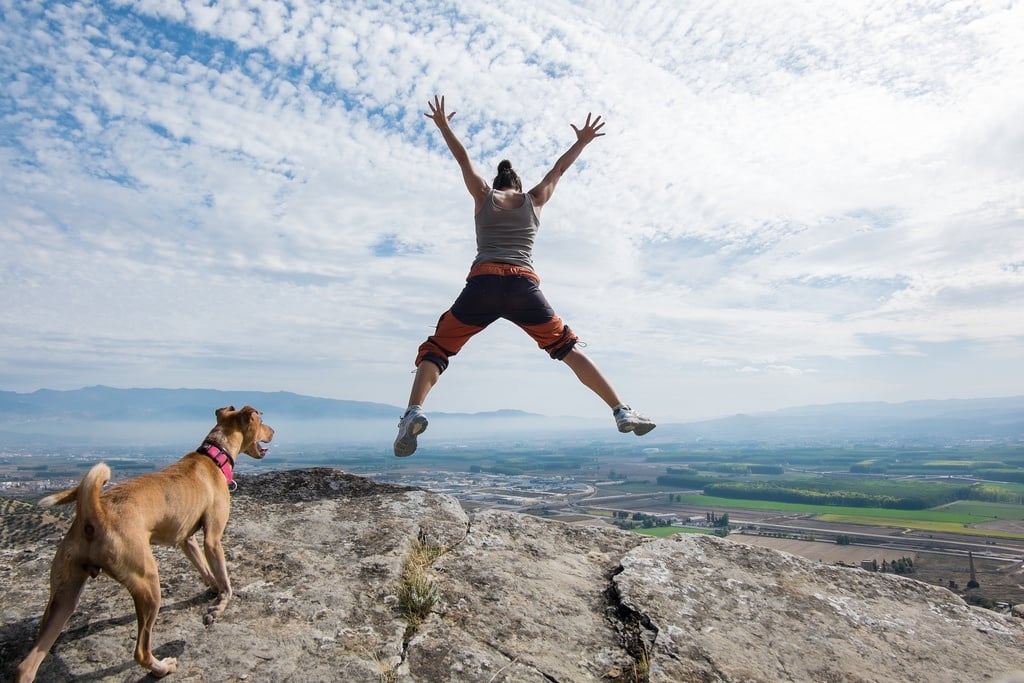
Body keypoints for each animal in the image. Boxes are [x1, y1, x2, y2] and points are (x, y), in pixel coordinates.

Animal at [17, 405, 272, 679]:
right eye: (261, 420)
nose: (274, 431)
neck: (215, 455)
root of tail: (94, 512)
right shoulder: (213, 539)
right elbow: (225, 580)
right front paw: (219, 606)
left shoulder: (186, 539)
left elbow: (205, 568)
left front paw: (212, 588)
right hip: (147, 581)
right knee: (140, 650)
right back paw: (162, 667)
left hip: (65, 593)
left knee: (28, 663)